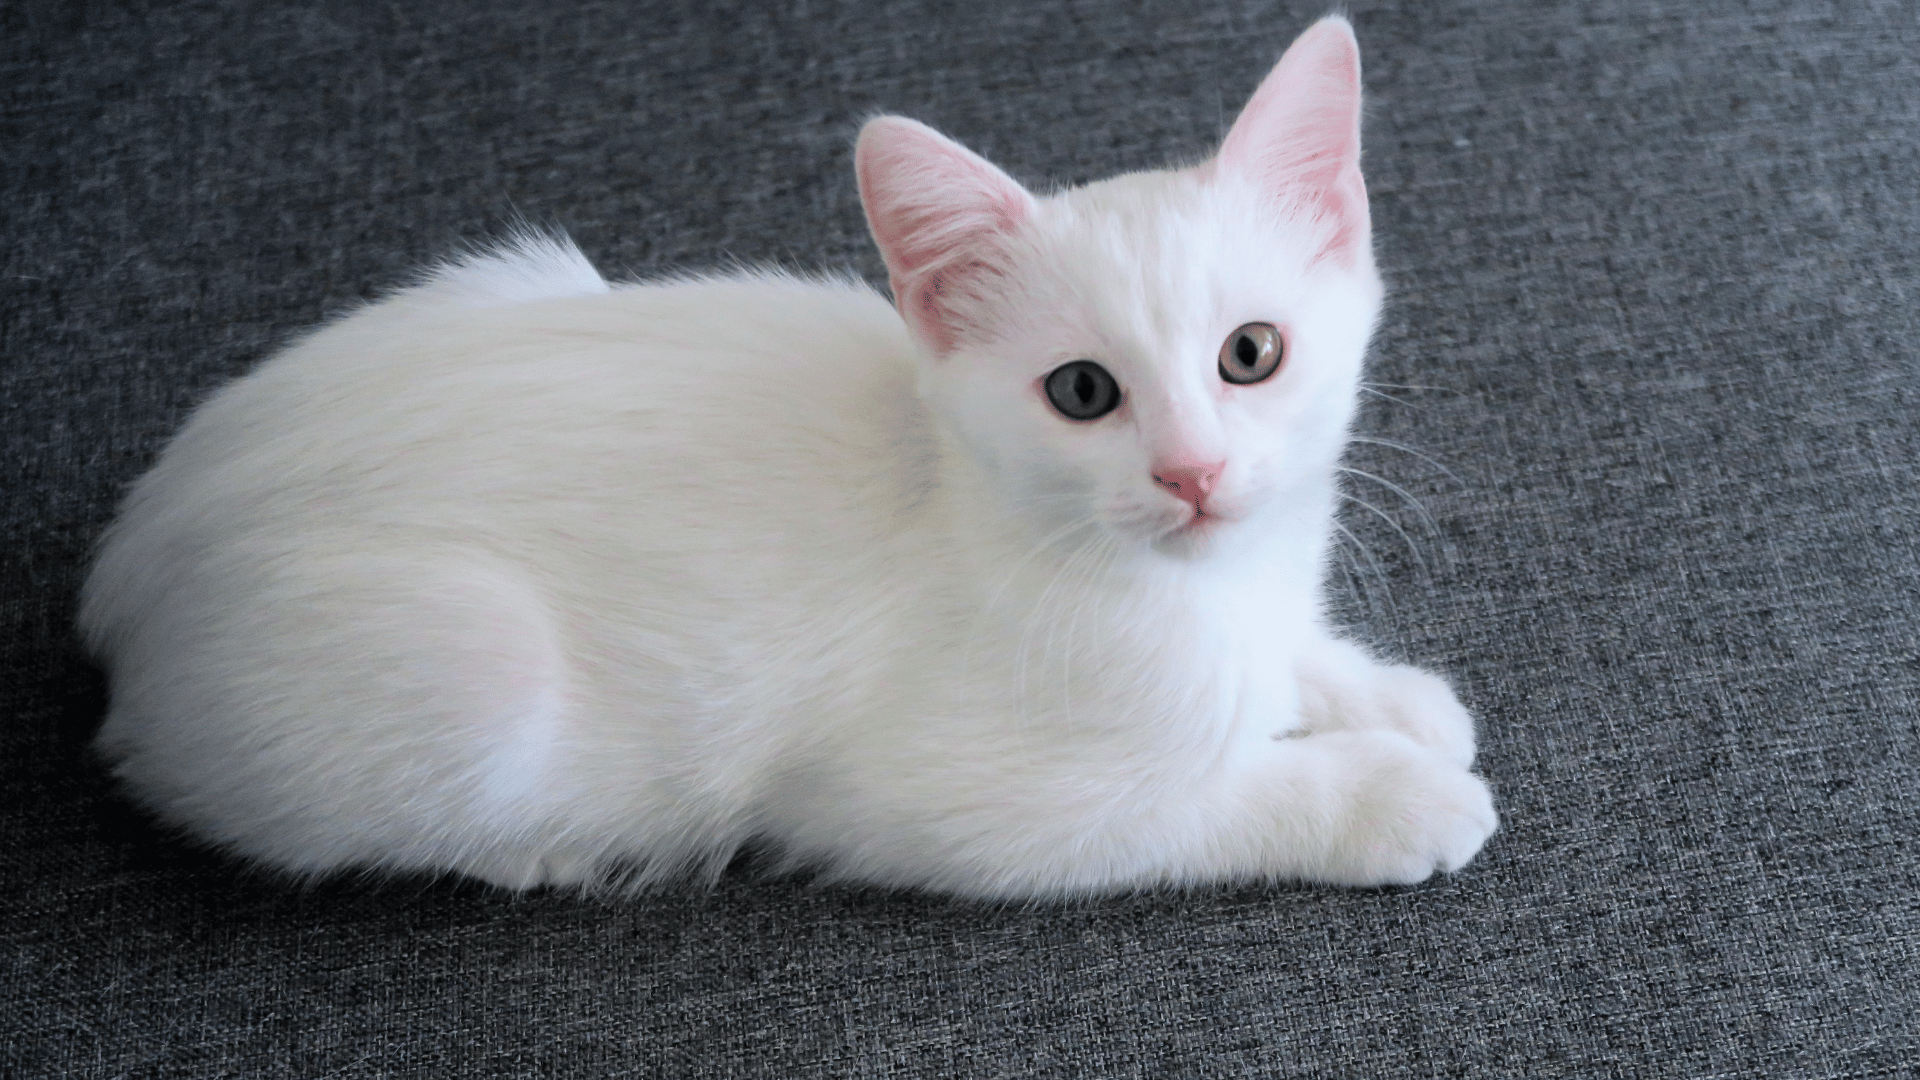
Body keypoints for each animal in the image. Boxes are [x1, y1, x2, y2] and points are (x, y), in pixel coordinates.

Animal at [78, 16, 1497, 895]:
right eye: (1083, 392)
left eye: (1252, 354)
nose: (1192, 474)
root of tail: (124, 567)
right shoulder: (936, 798)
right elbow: (1198, 805)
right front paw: (1392, 796)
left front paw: (1380, 694)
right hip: (470, 671)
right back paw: (544, 850)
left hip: (518, 275)